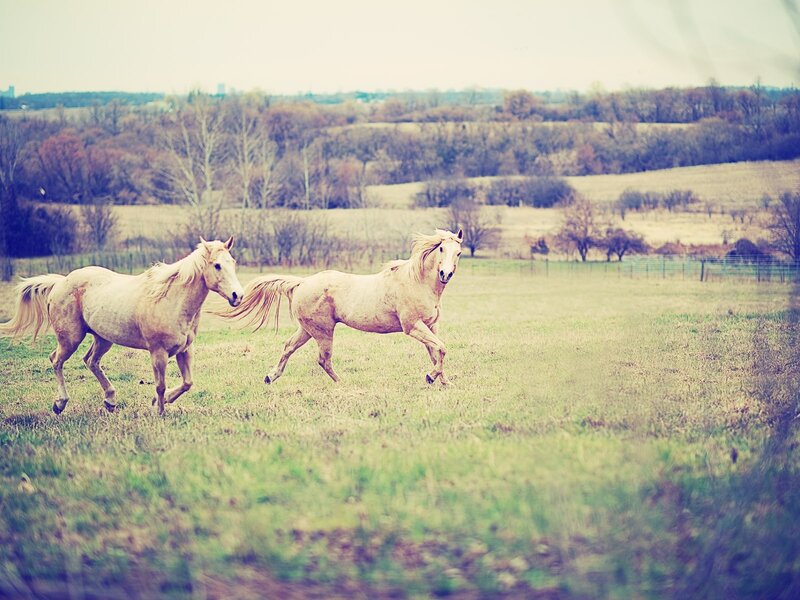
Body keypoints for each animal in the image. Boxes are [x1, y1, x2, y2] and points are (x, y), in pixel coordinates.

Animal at [0, 237, 244, 415]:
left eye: (233, 263)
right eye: (217, 265)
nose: (238, 296)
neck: (170, 300)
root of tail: (61, 282)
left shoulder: (184, 350)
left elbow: (187, 383)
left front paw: (158, 402)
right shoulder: (158, 352)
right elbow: (161, 385)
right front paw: (159, 411)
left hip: (103, 339)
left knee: (91, 361)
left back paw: (110, 400)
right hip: (70, 339)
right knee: (56, 360)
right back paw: (60, 403)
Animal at [221, 228, 463, 385]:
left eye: (458, 252)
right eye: (442, 249)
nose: (445, 274)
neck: (417, 281)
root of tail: (301, 283)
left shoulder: (430, 326)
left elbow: (435, 353)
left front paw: (444, 382)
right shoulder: (412, 326)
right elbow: (441, 348)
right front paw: (431, 377)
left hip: (307, 330)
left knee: (289, 346)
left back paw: (271, 377)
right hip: (323, 331)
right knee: (323, 360)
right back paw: (342, 382)